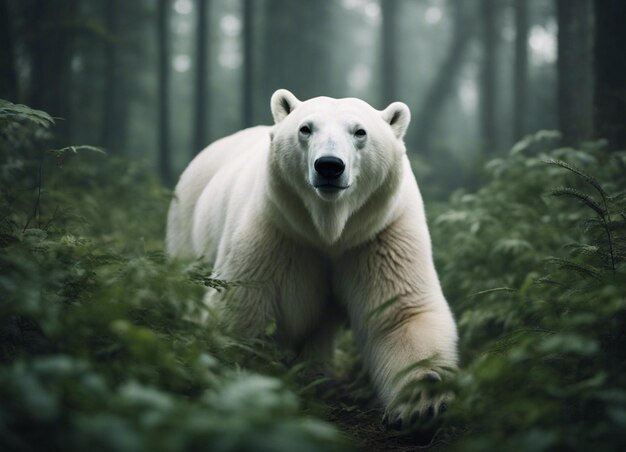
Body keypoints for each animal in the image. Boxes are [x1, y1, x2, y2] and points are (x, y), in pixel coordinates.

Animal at [167, 89, 458, 428]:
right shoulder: (276, 230)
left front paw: (422, 404)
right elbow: (242, 310)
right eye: (305, 129)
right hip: (187, 227)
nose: (329, 165)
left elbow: (401, 311)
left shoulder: (379, 232)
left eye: (360, 132)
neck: (329, 230)